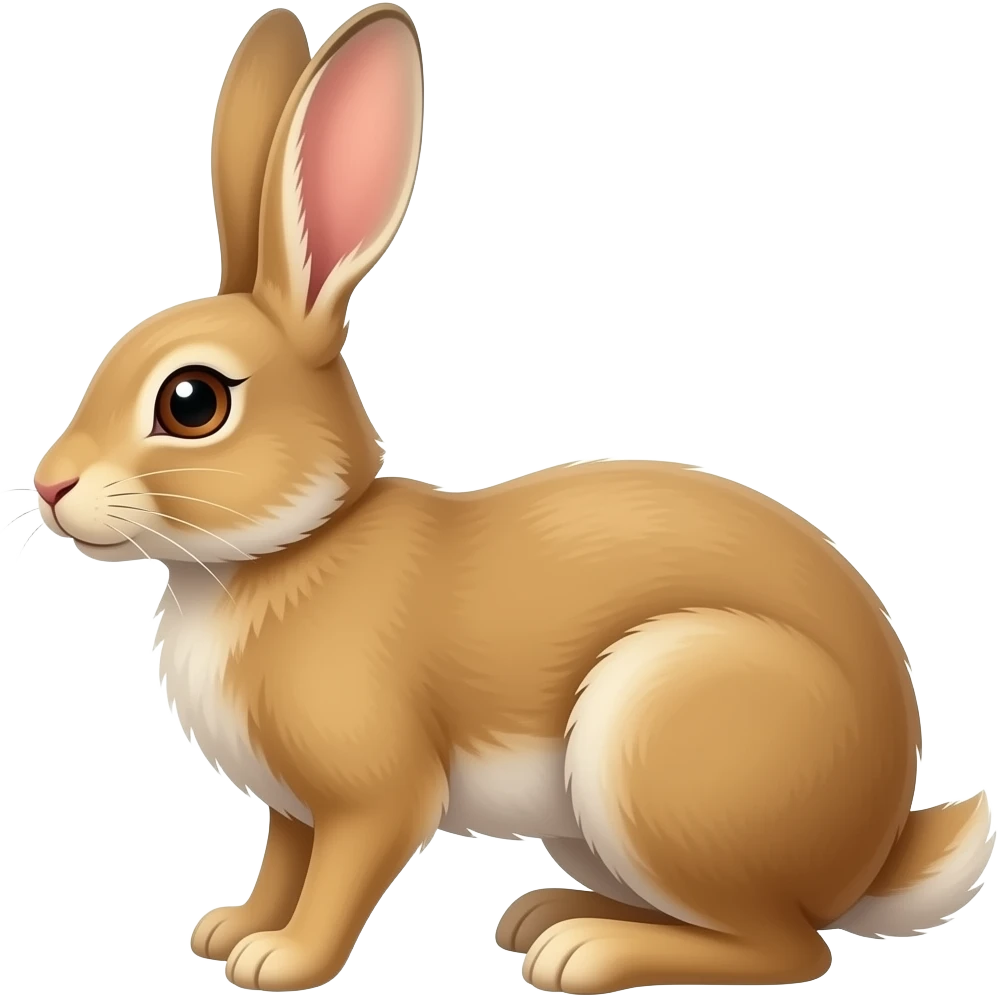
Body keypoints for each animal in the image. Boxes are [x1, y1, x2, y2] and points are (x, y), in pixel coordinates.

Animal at [29, 5, 994, 994]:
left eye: (193, 404)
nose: (51, 484)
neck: (291, 548)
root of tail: (875, 850)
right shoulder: (292, 808)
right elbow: (283, 863)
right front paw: (230, 930)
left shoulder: (372, 793)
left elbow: (338, 876)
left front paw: (283, 961)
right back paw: (547, 916)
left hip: (658, 739)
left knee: (788, 947)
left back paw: (584, 953)